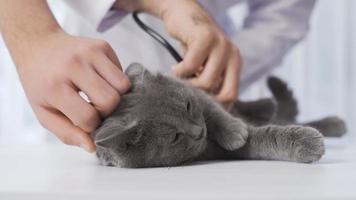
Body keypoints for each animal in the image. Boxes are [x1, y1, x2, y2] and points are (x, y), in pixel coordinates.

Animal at [92, 63, 348, 168]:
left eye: (187, 106)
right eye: (174, 137)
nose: (199, 133)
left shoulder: (198, 92)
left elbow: (214, 111)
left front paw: (234, 132)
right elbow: (264, 137)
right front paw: (308, 142)